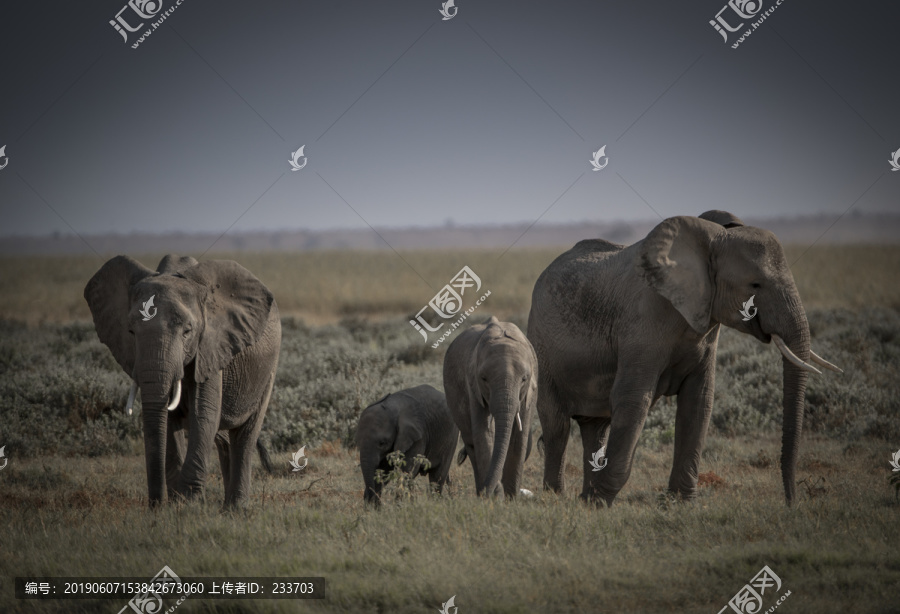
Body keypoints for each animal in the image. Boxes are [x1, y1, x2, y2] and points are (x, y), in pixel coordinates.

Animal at [85, 255, 282, 510]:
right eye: (131, 332)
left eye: (187, 331)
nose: (155, 506)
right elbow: (169, 420)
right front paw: (177, 505)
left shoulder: (211, 347)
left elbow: (204, 413)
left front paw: (189, 506)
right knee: (224, 441)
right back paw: (225, 509)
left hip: (268, 369)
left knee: (245, 437)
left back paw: (235, 510)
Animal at [442, 318, 536, 496]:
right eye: (484, 378)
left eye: (524, 379)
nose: (491, 489)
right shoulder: (473, 386)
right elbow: (484, 433)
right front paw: (495, 496)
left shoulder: (530, 393)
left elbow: (518, 439)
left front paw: (511, 498)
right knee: (471, 443)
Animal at [528, 214, 844, 508]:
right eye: (755, 284)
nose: (791, 502)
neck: (712, 241)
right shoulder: (642, 321)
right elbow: (633, 398)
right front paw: (601, 503)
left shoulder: (707, 326)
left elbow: (699, 400)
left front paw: (679, 503)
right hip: (541, 349)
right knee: (557, 427)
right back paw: (556, 497)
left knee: (596, 429)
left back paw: (582, 498)